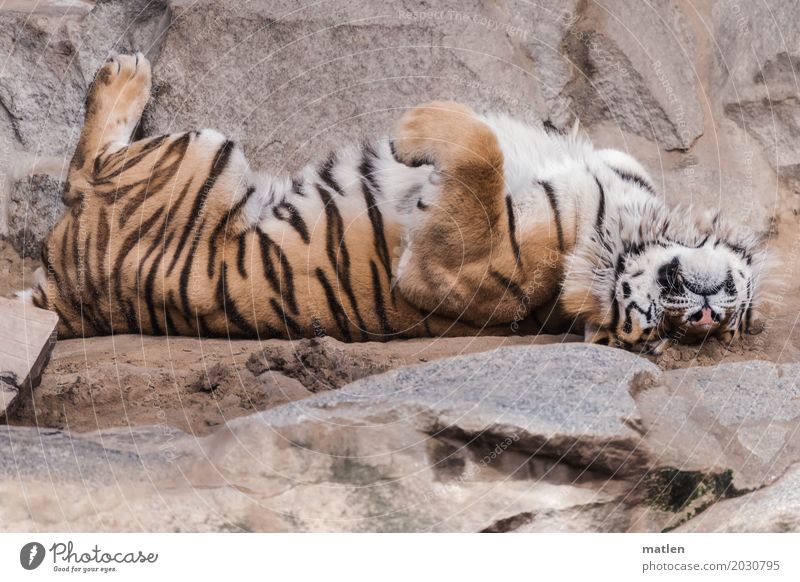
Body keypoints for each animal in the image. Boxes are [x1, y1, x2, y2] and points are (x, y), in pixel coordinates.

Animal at [21, 53, 764, 356]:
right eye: (706, 320)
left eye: (674, 328)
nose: (704, 309)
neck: (634, 226)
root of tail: (61, 295)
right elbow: (514, 141)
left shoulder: (446, 267)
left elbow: (483, 150)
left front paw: (413, 129)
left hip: (201, 153)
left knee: (82, 172)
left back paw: (123, 74)